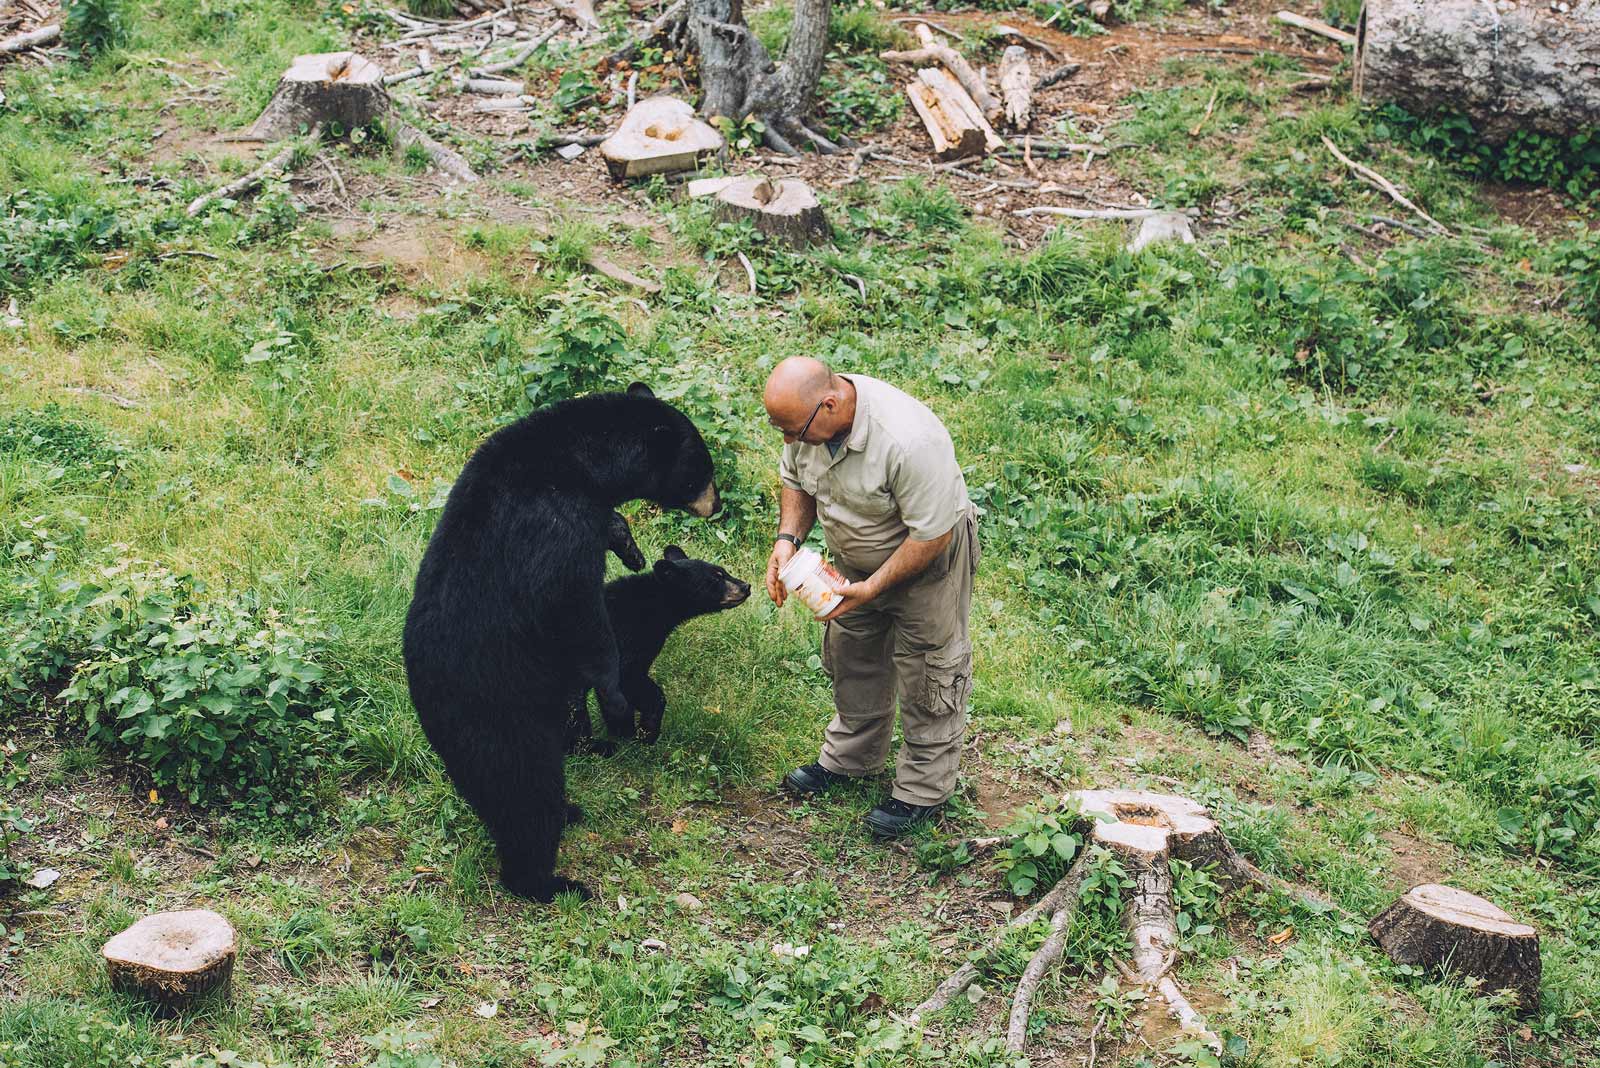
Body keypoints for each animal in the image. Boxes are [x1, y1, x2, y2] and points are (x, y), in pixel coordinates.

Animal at [403, 385, 716, 901]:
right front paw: (619, 704)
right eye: (702, 470)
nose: (715, 504)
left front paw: (630, 547)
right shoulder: (556, 526)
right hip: (502, 718)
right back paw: (548, 880)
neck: (580, 463)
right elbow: (577, 609)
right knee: (528, 794)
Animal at [572, 546, 752, 754]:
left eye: (723, 571)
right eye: (716, 577)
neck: (655, 606)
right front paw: (642, 733)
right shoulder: (626, 636)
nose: (746, 586)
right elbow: (626, 677)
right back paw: (593, 746)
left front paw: (625, 731)